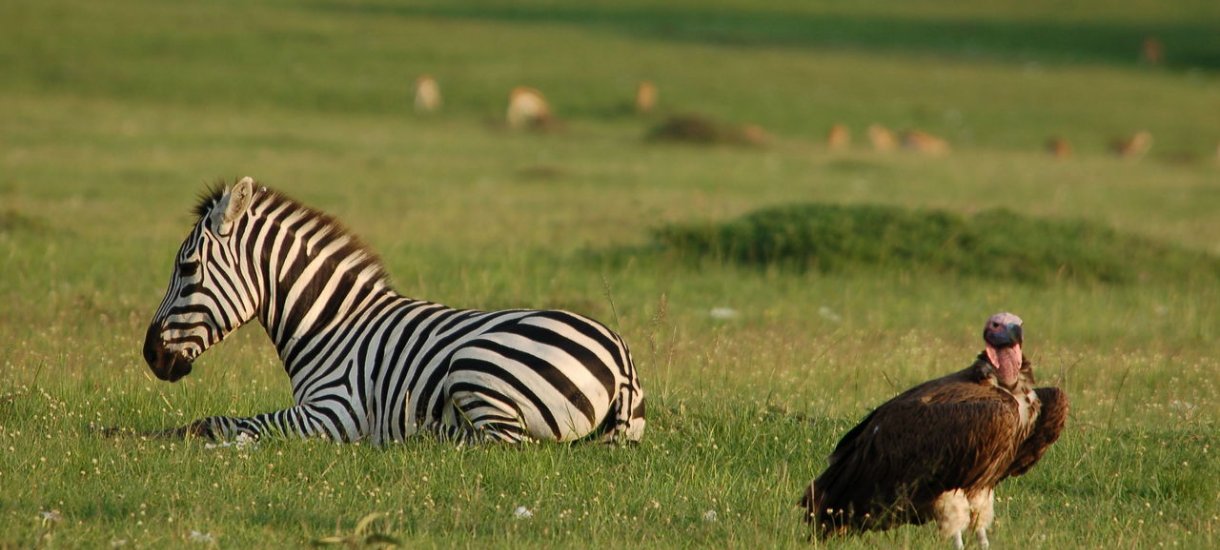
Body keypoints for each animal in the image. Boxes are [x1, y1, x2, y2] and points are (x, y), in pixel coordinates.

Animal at [140, 179, 649, 446]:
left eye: (187, 268)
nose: (149, 355)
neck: (330, 326)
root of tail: (620, 358)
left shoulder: (334, 411)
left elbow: (219, 421)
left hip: (474, 368)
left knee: (500, 443)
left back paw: (418, 439)